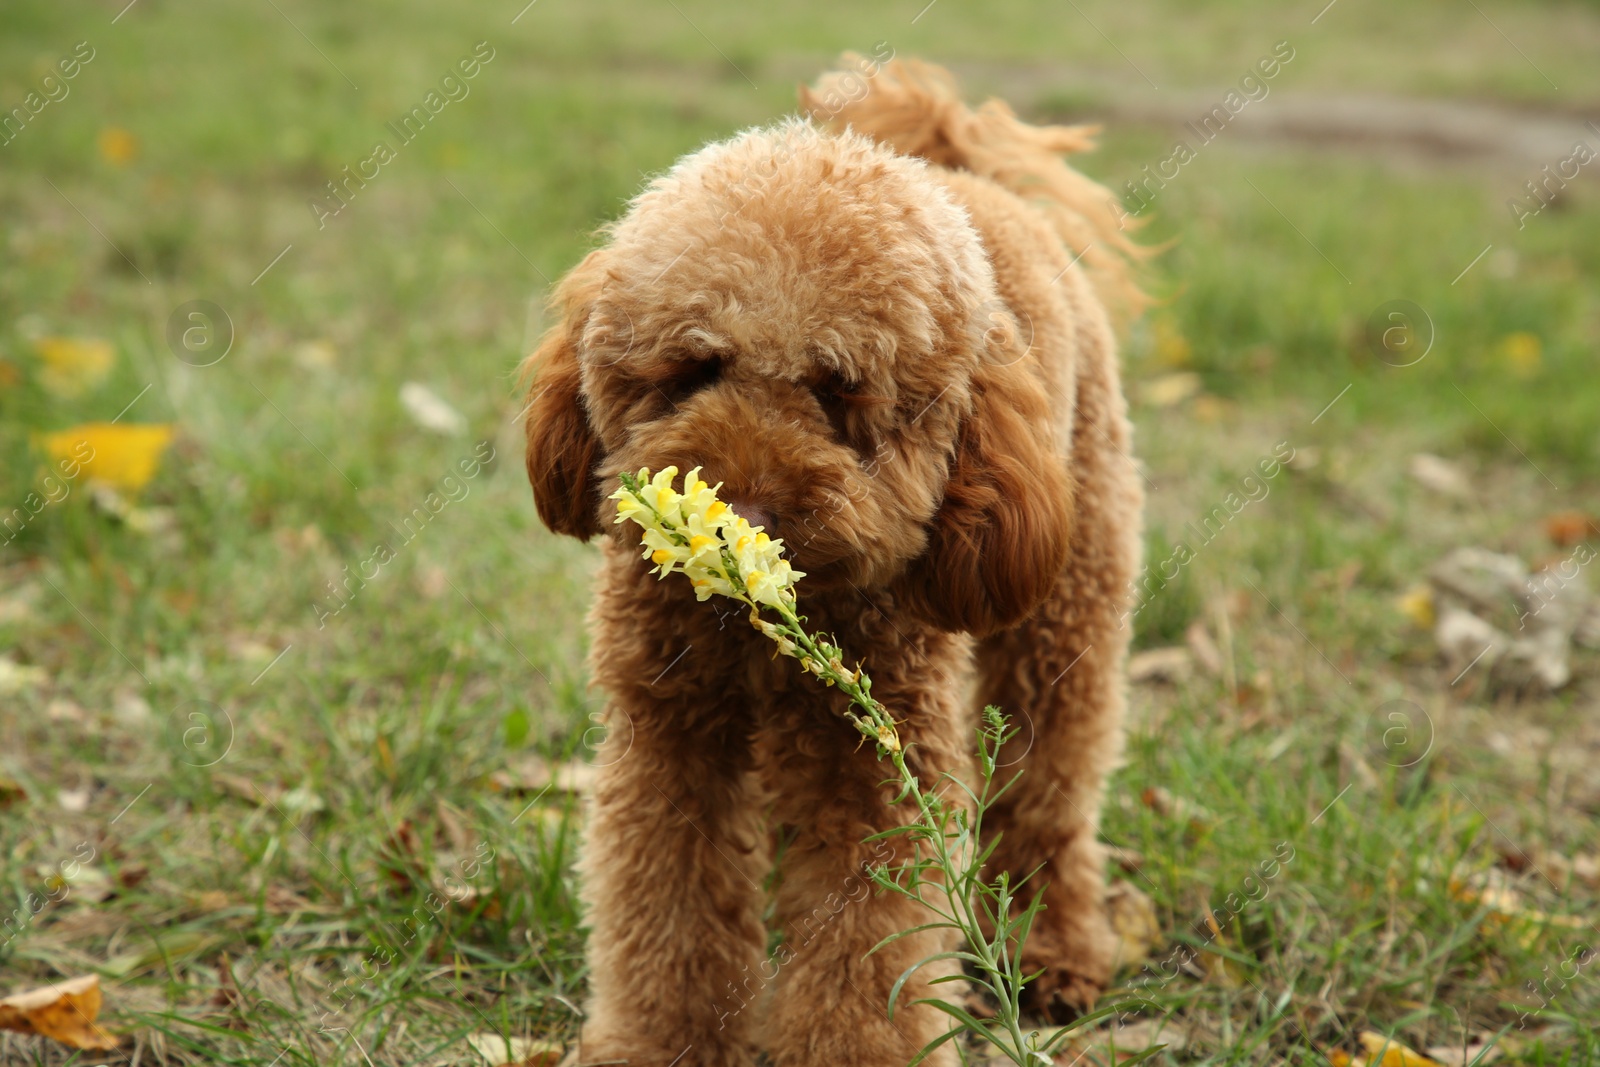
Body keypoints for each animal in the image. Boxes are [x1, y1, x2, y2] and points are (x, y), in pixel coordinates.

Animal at [531, 56, 1145, 1067]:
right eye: (694, 368)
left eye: (838, 393)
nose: (740, 513)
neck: (766, 632)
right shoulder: (668, 736)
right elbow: (667, 915)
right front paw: (661, 1042)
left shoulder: (881, 762)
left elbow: (869, 956)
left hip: (1068, 598)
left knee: (1047, 787)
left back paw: (1051, 949)